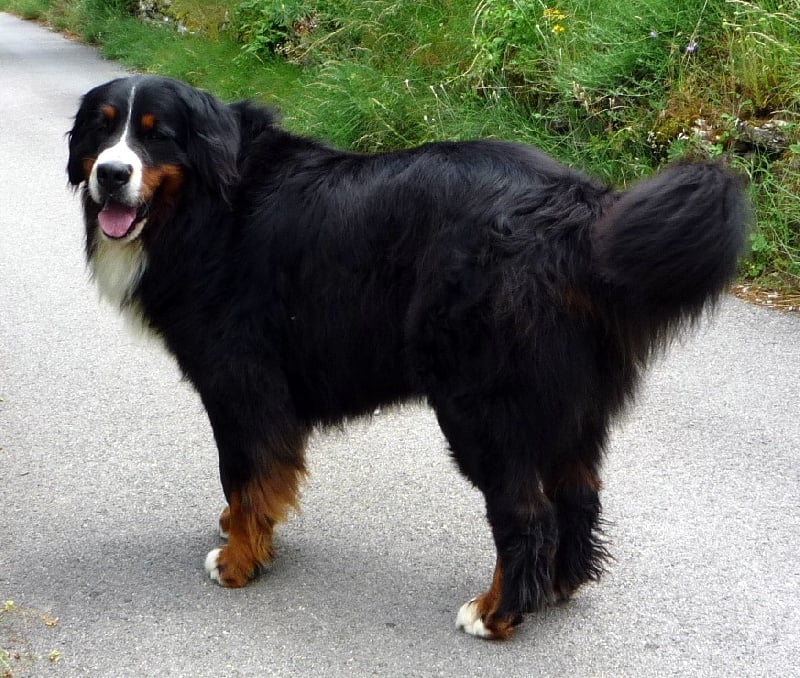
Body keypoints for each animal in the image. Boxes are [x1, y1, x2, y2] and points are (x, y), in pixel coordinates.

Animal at [67, 75, 745, 639]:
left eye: (158, 134)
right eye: (103, 127)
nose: (112, 174)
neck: (205, 205)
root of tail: (573, 210)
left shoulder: (240, 382)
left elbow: (244, 475)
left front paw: (238, 560)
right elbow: (253, 482)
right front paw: (240, 533)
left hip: (482, 409)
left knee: (528, 518)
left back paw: (497, 613)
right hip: (568, 412)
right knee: (576, 500)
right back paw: (553, 587)